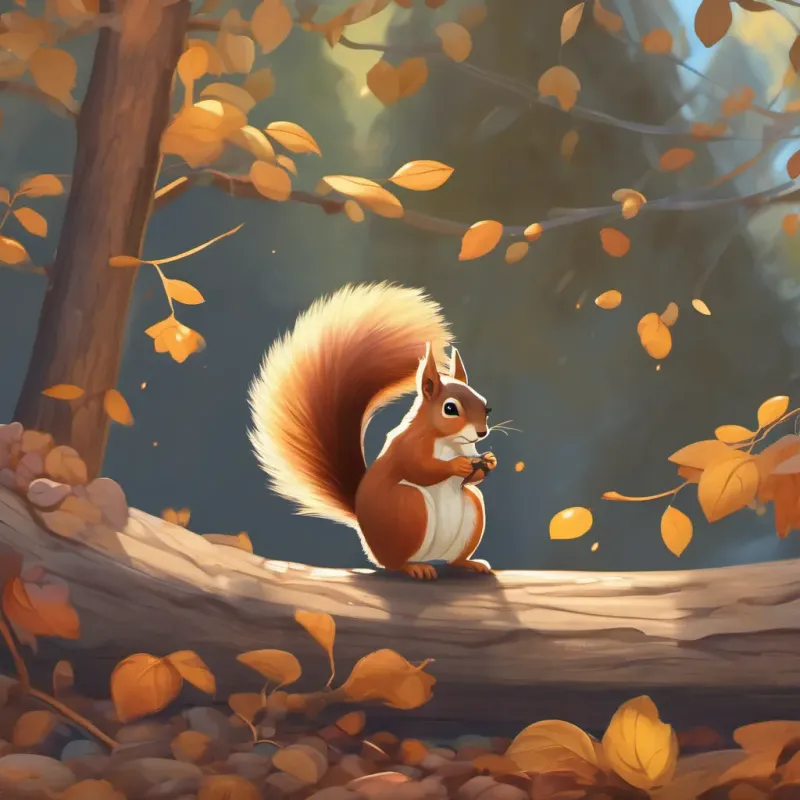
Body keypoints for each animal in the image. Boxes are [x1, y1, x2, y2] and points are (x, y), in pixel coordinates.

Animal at [248, 282, 497, 580]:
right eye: (450, 408)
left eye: (486, 406)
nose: (481, 433)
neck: (450, 442)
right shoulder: (409, 446)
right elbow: (420, 468)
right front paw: (457, 466)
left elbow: (476, 478)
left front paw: (489, 462)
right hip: (409, 508)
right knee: (394, 562)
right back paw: (414, 567)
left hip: (472, 509)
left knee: (453, 555)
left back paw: (468, 563)